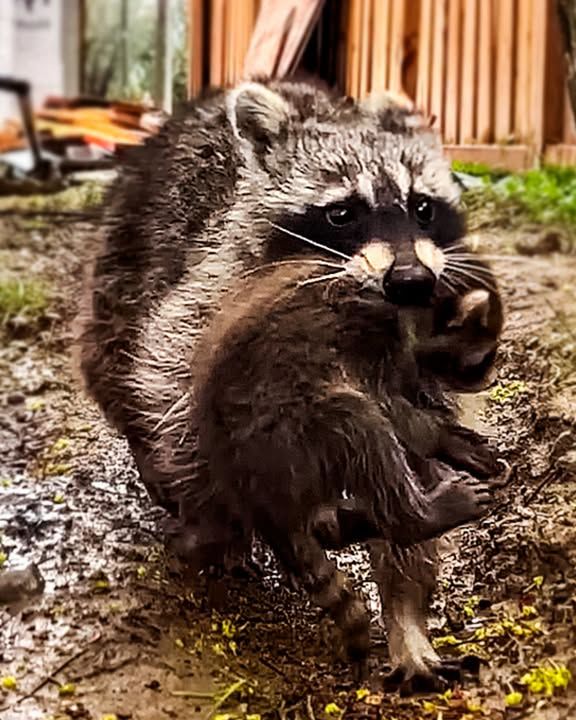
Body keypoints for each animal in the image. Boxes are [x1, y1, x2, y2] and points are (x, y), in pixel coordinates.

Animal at [77, 80, 504, 692]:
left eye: (423, 207)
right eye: (342, 212)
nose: (411, 280)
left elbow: (424, 439)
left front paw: (406, 611)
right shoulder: (219, 291)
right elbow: (173, 381)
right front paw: (223, 520)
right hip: (123, 266)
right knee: (125, 369)